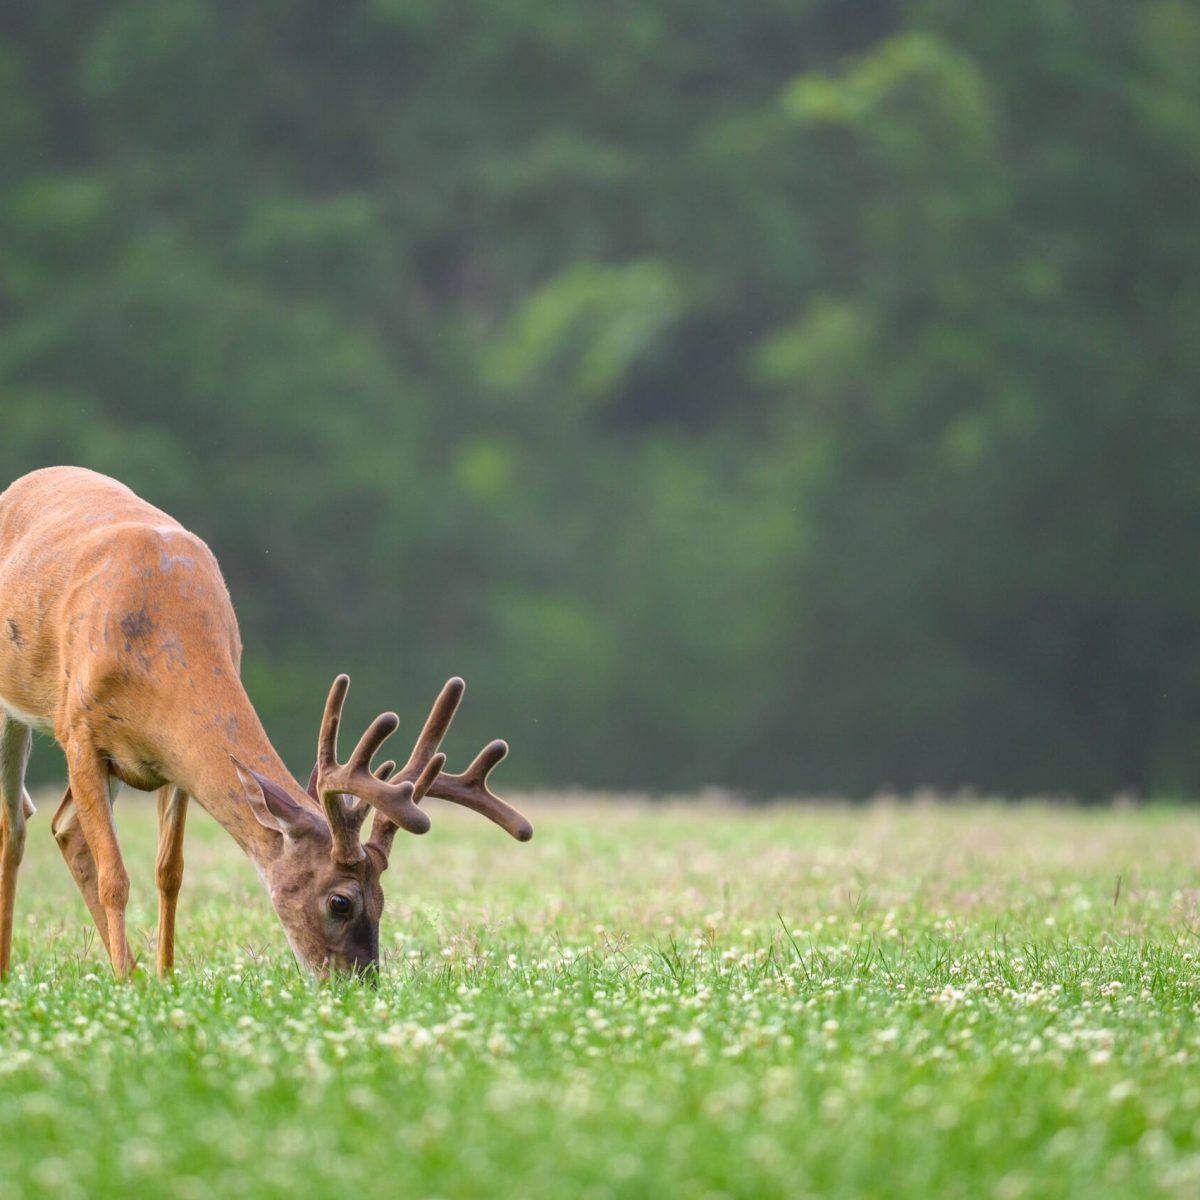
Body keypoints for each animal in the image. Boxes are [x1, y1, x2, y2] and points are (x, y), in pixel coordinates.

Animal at [0, 466, 531, 981]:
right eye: (341, 902)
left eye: (384, 901)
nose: (360, 982)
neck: (155, 646)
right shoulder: (79, 734)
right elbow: (116, 877)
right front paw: (126, 986)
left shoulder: (172, 762)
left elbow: (169, 872)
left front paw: (164, 979)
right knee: (16, 828)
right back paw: (19, 970)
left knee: (64, 827)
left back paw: (129, 968)